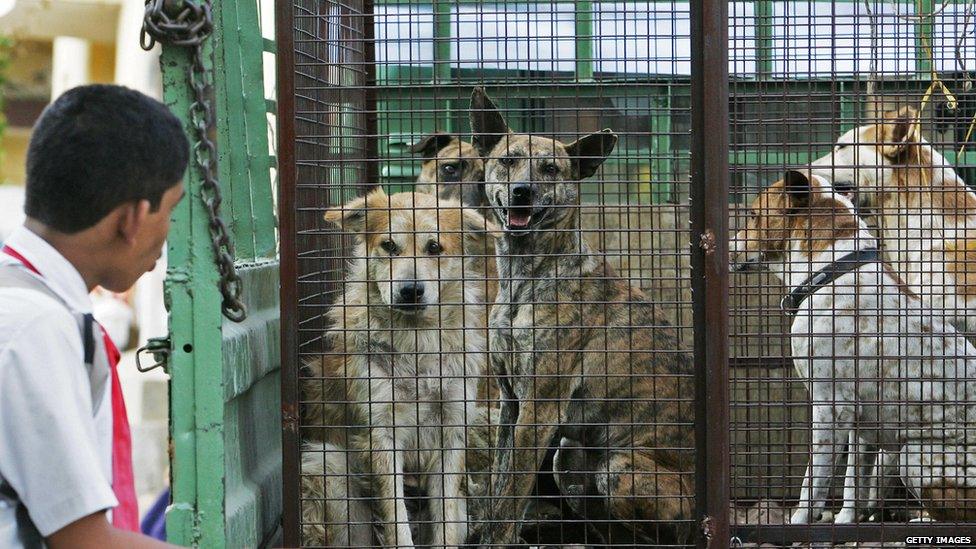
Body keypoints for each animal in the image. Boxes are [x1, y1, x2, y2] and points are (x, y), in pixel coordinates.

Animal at [300, 187, 500, 544]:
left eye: (434, 247)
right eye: (389, 246)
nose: (410, 290)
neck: (416, 342)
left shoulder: (451, 429)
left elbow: (446, 520)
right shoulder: (381, 435)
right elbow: (397, 519)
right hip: (327, 466)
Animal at [468, 88, 692, 544]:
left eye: (551, 169)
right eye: (508, 160)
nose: (521, 192)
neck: (528, 275)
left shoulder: (539, 408)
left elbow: (511, 494)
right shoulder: (510, 403)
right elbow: (499, 483)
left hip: (619, 468)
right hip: (569, 457)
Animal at [732, 170, 976, 524]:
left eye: (752, 215)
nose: (727, 247)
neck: (831, 272)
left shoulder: (830, 410)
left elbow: (812, 487)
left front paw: (799, 523)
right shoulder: (861, 427)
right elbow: (853, 483)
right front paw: (847, 520)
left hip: (914, 455)